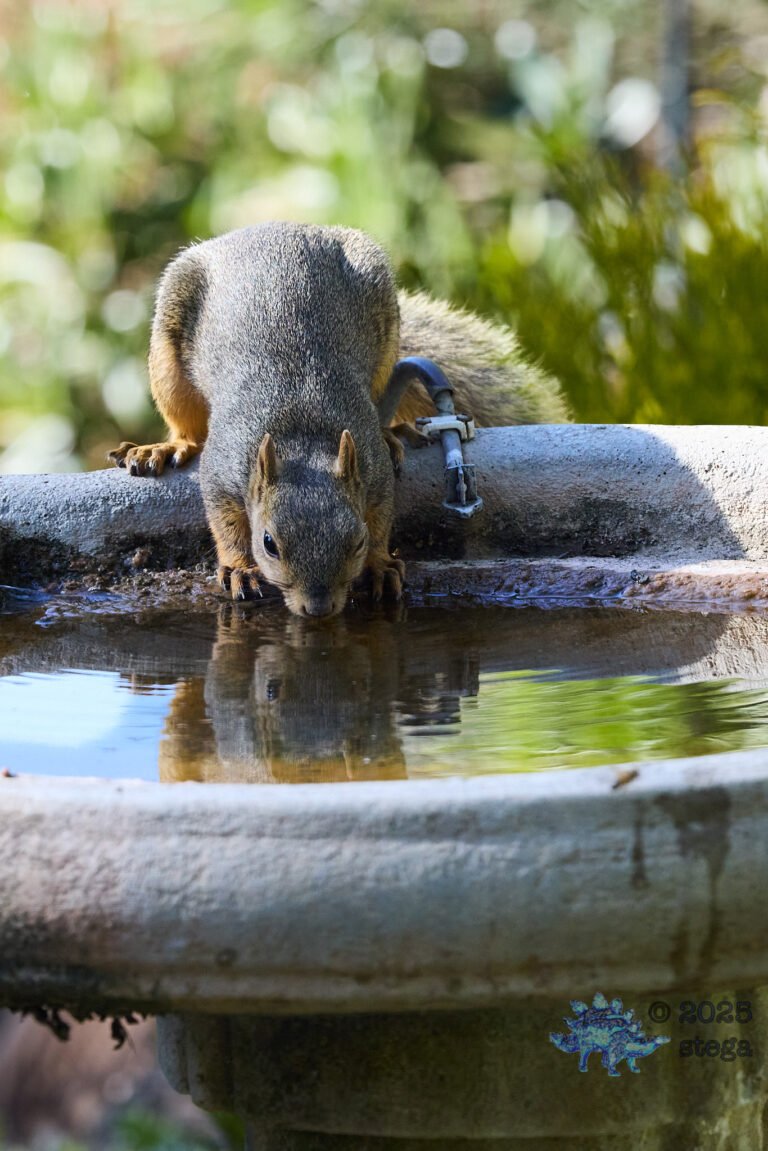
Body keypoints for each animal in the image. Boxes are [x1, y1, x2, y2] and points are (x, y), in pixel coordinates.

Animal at [109, 222, 567, 617]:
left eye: (357, 540)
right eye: (268, 543)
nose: (319, 608)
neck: (302, 432)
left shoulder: (372, 470)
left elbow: (382, 516)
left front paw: (381, 564)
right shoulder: (223, 469)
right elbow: (224, 523)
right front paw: (240, 569)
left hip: (384, 332)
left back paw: (391, 432)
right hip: (168, 351)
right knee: (185, 425)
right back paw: (163, 448)